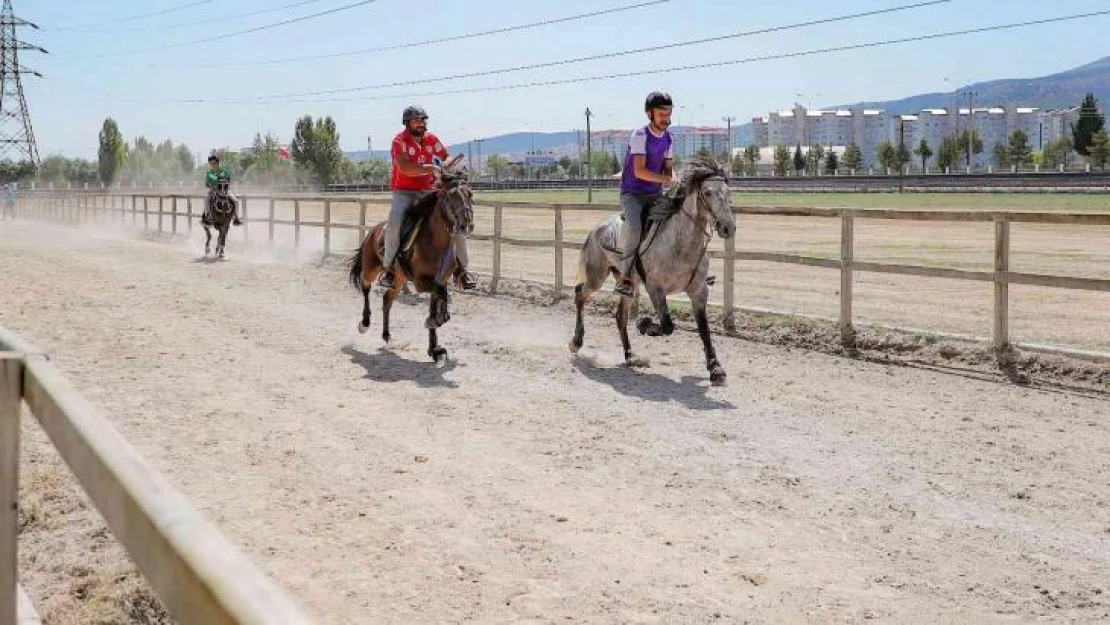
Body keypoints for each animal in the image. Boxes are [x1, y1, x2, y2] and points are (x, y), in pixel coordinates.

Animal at [341, 163, 472, 366]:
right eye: (452, 196)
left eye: (470, 194)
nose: (467, 224)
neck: (436, 243)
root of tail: (373, 231)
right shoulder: (421, 282)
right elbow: (441, 300)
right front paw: (436, 321)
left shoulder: (439, 280)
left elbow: (438, 301)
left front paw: (435, 349)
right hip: (371, 269)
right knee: (366, 287)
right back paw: (364, 323)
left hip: (399, 278)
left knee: (387, 300)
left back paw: (388, 336)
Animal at [572, 156, 737, 386]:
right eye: (707, 193)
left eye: (728, 192)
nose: (728, 228)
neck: (679, 244)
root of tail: (598, 228)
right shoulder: (655, 289)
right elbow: (667, 325)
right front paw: (645, 324)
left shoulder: (698, 291)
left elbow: (704, 328)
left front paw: (716, 368)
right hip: (597, 275)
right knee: (580, 294)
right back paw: (576, 342)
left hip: (629, 284)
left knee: (620, 316)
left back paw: (631, 356)